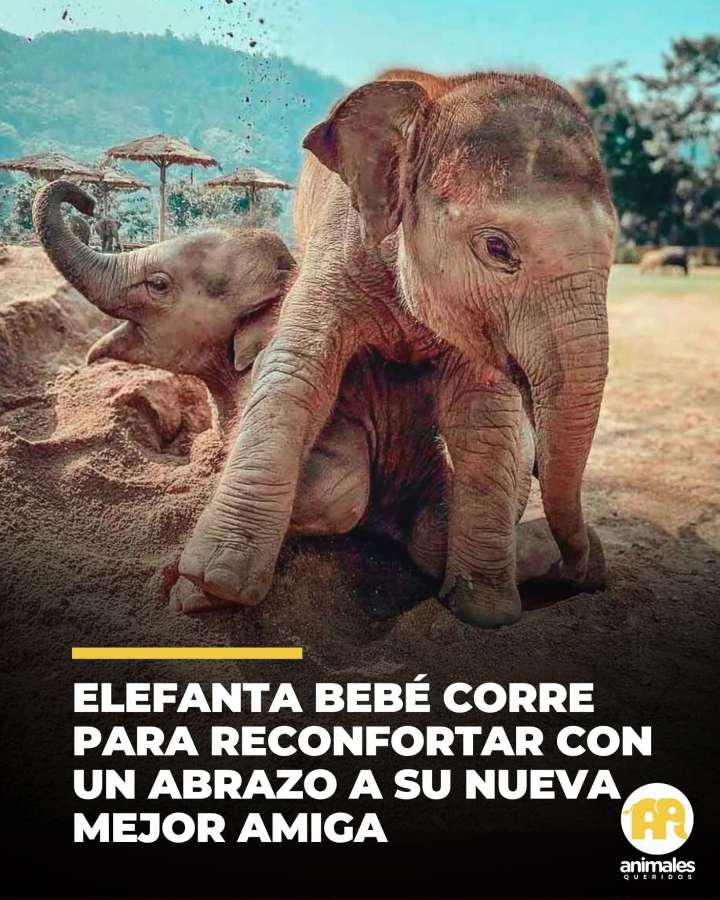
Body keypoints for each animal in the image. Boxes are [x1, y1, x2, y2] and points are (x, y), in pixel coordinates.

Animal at [31, 179, 586, 620]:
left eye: (158, 285)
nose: (83, 200)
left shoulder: (346, 397)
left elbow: (340, 491)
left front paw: (185, 589)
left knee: (431, 541)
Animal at [175, 69, 615, 626]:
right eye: (498, 248)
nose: (575, 566)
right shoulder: (338, 247)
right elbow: (296, 370)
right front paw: (210, 587)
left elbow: (483, 415)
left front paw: (484, 613)